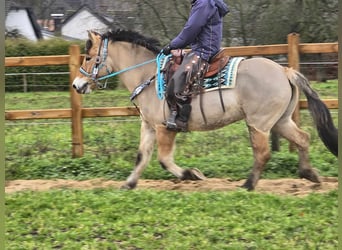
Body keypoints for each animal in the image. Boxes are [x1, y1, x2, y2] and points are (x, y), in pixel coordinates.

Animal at [71, 29, 336, 190]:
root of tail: (284, 70)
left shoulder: (165, 128)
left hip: (259, 124)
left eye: (88, 56)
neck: (148, 75)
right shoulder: (148, 126)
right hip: (280, 121)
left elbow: (164, 159)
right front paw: (129, 183)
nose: (77, 84)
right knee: (302, 138)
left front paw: (191, 174)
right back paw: (310, 175)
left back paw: (248, 184)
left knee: (262, 153)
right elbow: (141, 157)